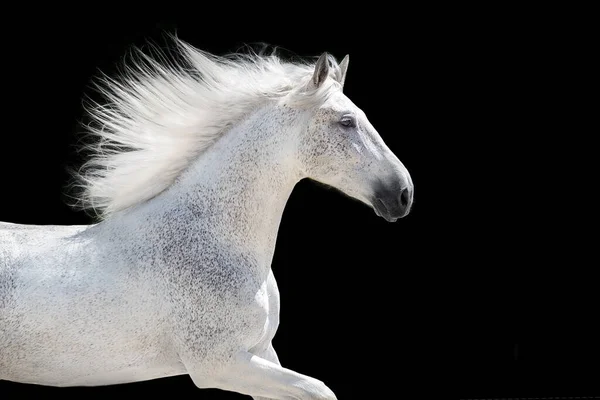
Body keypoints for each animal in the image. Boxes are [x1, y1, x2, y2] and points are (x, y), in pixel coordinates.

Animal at [0, 38, 412, 400]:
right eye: (346, 122)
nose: (404, 194)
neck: (215, 241)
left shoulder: (261, 355)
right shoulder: (221, 364)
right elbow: (320, 390)